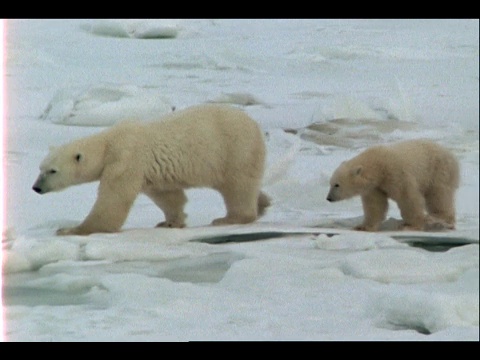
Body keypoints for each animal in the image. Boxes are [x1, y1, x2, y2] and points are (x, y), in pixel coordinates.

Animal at [32, 103, 270, 236]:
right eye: (40, 168)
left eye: (52, 171)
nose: (36, 188)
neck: (108, 144)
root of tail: (256, 125)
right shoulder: (149, 172)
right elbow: (167, 195)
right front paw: (170, 221)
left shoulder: (125, 160)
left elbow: (113, 200)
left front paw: (70, 229)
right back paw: (264, 202)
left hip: (235, 150)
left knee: (238, 187)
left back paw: (230, 218)